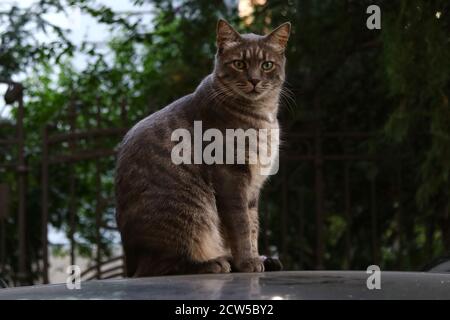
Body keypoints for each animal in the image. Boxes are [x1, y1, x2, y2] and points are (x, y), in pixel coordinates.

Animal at [116, 18, 290, 276]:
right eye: (239, 63)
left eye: (267, 65)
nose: (254, 80)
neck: (262, 114)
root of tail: (131, 262)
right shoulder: (231, 177)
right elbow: (240, 225)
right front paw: (247, 262)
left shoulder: (252, 187)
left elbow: (253, 226)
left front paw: (256, 257)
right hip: (189, 213)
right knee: (160, 266)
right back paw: (213, 262)